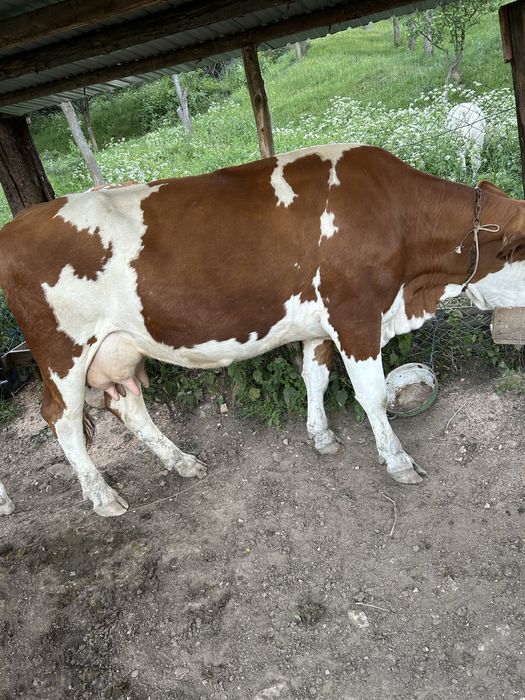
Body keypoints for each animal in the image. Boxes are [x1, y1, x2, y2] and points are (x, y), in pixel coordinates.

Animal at [0, 144, 523, 517]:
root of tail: (18, 223)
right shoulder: (355, 314)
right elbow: (372, 396)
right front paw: (397, 462)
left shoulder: (320, 323)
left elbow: (316, 378)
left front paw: (321, 435)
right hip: (62, 352)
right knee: (62, 419)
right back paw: (104, 497)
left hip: (118, 347)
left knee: (129, 405)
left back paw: (181, 461)